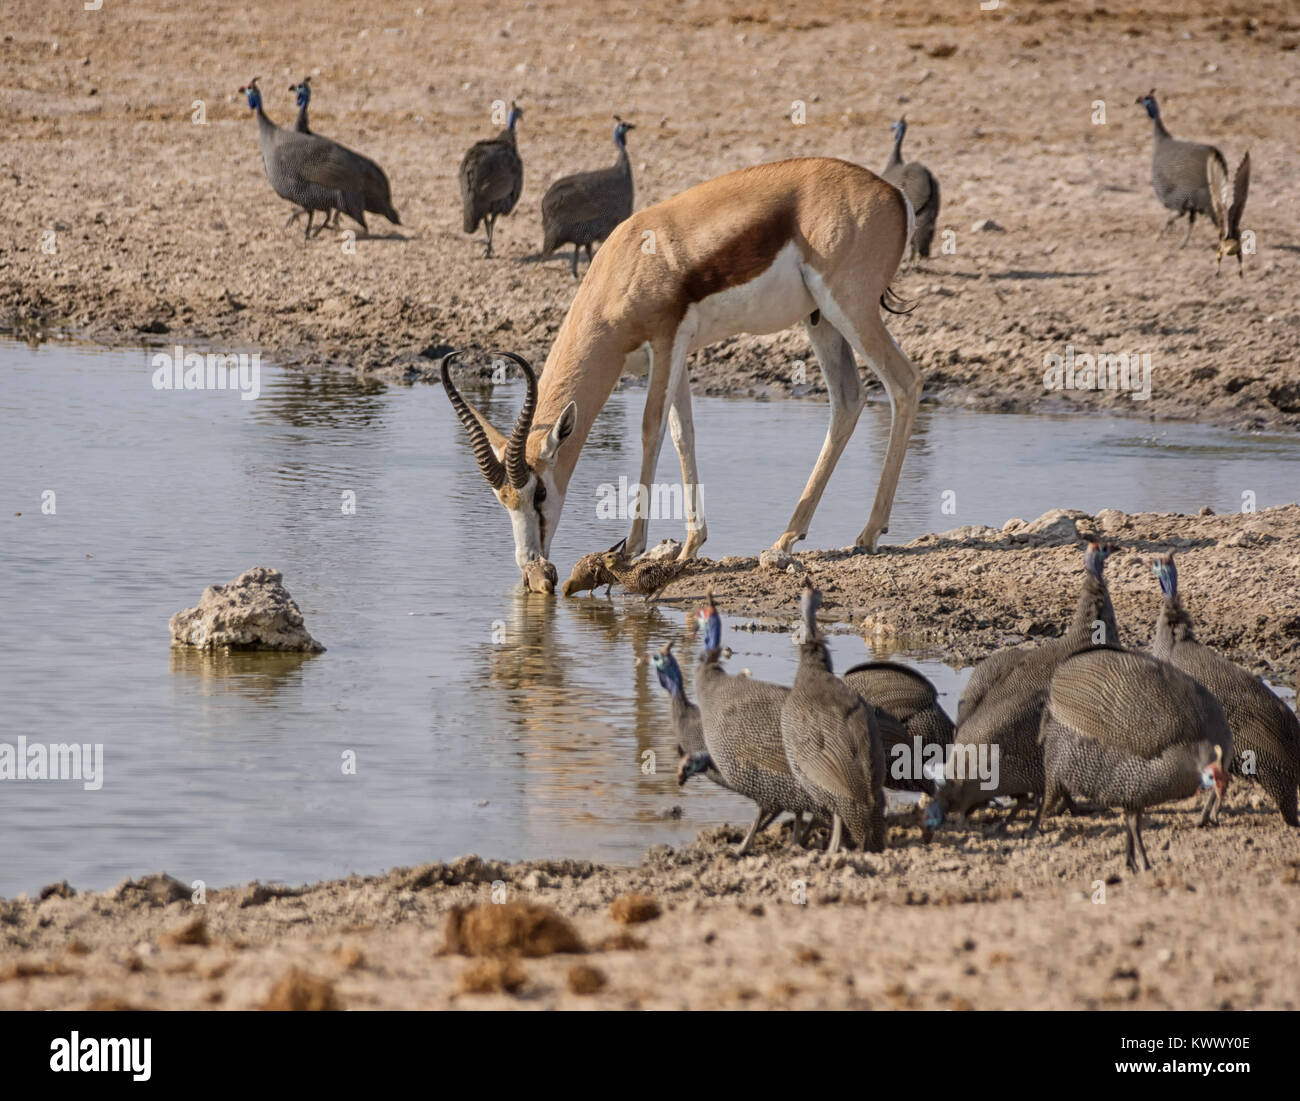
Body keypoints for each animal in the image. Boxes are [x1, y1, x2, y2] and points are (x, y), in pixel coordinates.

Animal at [441, 157, 920, 571]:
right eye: (503, 500)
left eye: (539, 492)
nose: (530, 563)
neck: (628, 261)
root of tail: (892, 192)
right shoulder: (680, 356)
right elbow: (682, 435)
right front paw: (690, 545)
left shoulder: (666, 341)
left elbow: (651, 430)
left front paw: (631, 548)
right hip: (819, 319)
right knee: (848, 401)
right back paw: (787, 538)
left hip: (850, 308)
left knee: (905, 382)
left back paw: (869, 534)